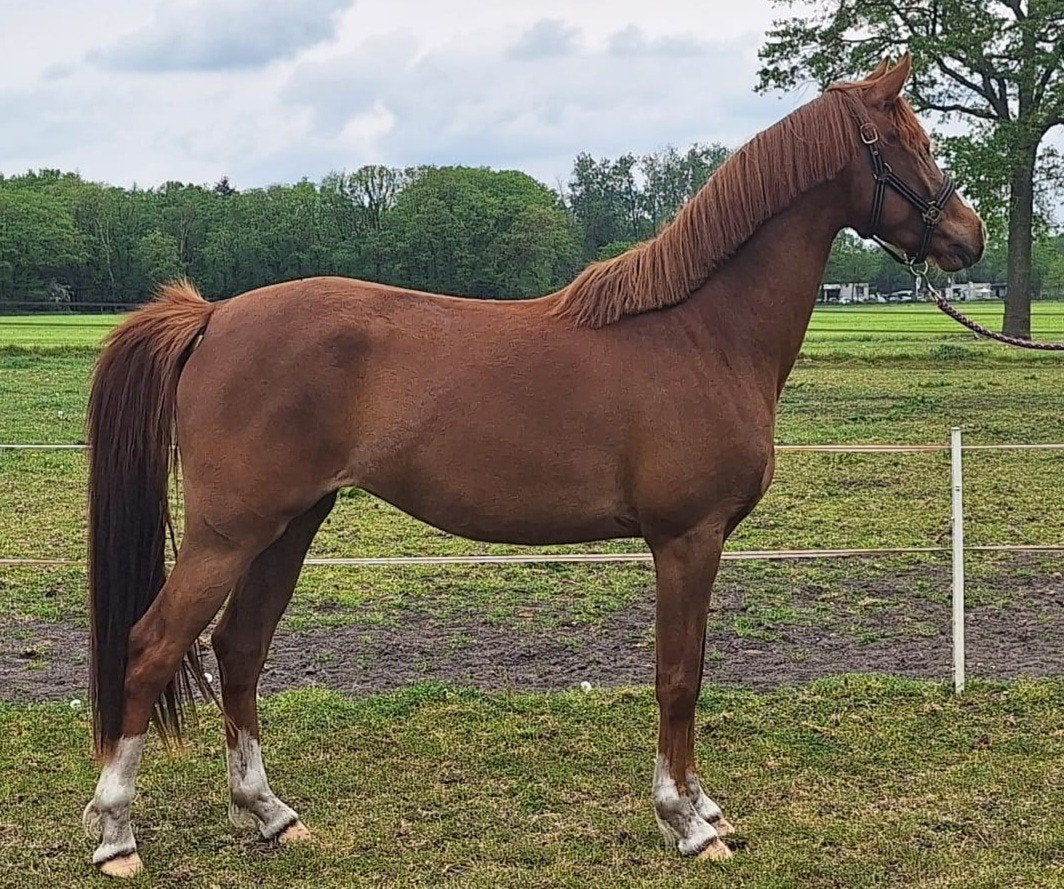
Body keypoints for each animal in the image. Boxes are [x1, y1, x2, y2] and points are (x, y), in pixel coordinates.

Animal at [82, 53, 984, 877]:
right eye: (907, 143)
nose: (968, 236)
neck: (704, 333)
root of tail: (214, 315)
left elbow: (690, 669)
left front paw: (702, 807)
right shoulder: (687, 539)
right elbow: (679, 676)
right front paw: (687, 822)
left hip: (291, 523)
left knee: (239, 648)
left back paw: (270, 812)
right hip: (229, 531)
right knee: (154, 644)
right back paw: (117, 833)